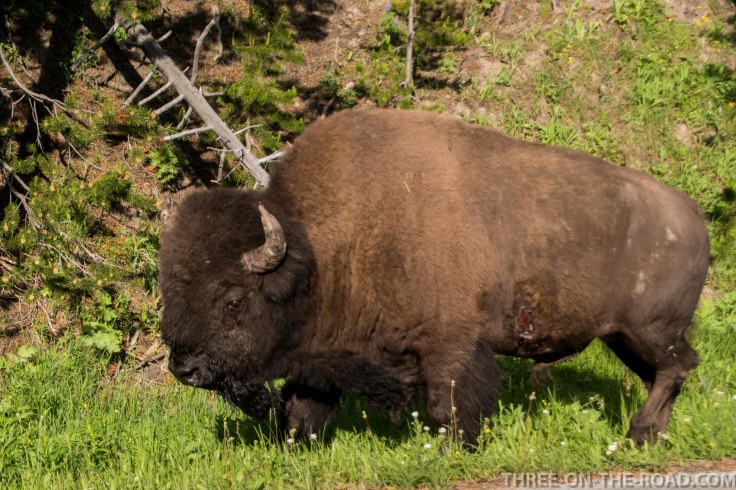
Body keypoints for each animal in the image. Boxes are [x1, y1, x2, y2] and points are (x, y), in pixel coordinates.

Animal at [158, 109, 709, 445]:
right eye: (172, 289)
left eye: (233, 299)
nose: (184, 368)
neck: (322, 251)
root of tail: (692, 217)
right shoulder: (324, 358)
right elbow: (302, 414)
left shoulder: (450, 345)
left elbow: (449, 407)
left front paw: (457, 450)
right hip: (624, 337)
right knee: (665, 374)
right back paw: (653, 437)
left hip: (650, 330)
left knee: (677, 367)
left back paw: (640, 432)